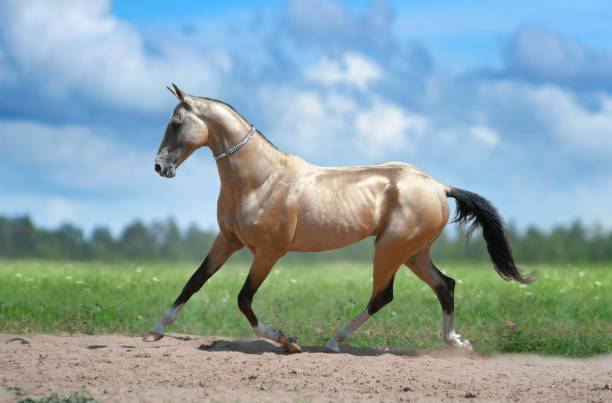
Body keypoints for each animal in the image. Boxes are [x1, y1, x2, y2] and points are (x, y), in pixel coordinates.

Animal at [145, 83, 532, 354]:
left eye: (176, 123)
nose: (160, 167)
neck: (260, 180)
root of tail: (439, 185)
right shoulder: (228, 240)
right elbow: (194, 281)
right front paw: (156, 330)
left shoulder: (268, 253)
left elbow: (243, 299)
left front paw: (287, 340)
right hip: (413, 253)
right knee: (444, 285)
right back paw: (457, 343)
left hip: (390, 250)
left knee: (383, 295)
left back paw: (334, 341)